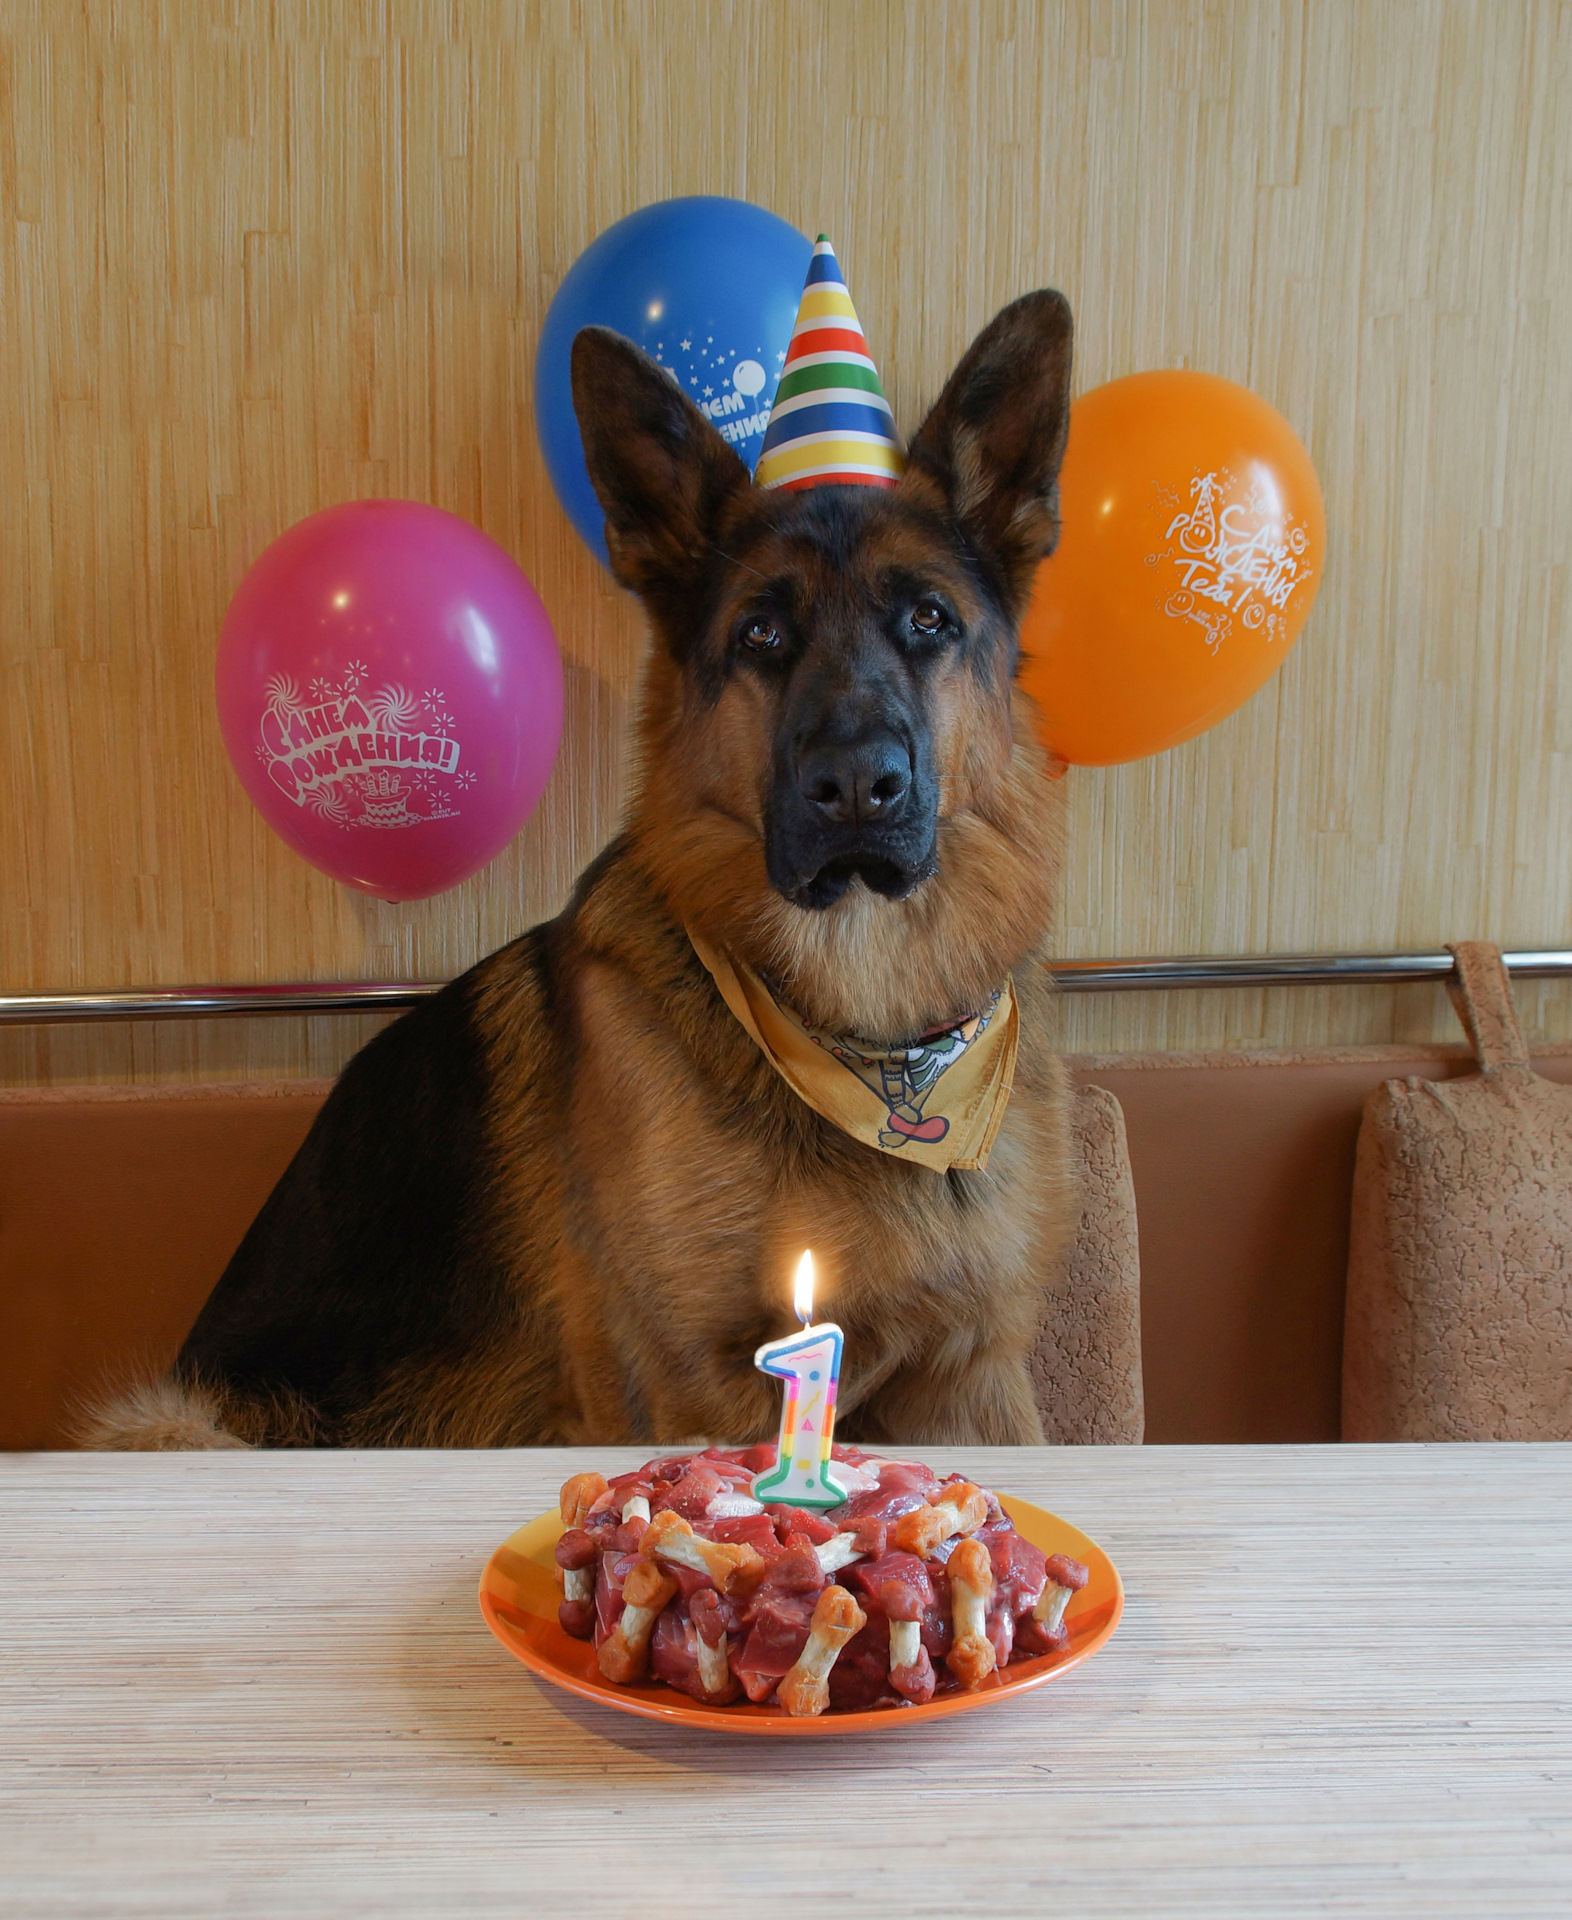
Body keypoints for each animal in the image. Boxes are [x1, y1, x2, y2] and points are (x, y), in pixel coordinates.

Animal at [92, 291, 1082, 1443]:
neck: (876, 1046)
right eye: (762, 634)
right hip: (174, 1420)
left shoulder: (973, 1379)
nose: (854, 786)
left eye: (928, 619)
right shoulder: (688, 1387)